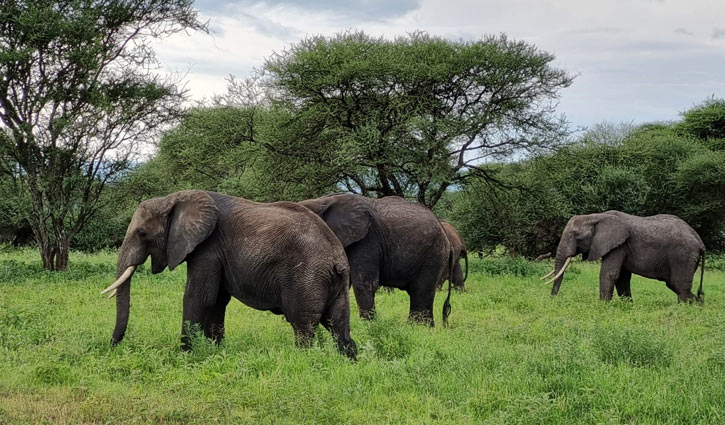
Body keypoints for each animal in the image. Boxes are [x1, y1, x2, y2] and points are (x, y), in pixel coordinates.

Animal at [101, 190, 356, 358]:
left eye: (142, 233)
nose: (112, 347)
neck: (175, 197)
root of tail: (338, 259)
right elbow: (216, 302)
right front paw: (216, 352)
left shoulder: (208, 249)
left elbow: (198, 298)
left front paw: (184, 357)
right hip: (333, 283)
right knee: (338, 327)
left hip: (307, 277)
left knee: (303, 328)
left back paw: (302, 361)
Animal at [296, 193, 450, 324]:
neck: (323, 201)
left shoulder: (366, 240)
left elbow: (365, 283)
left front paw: (369, 326)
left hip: (433, 253)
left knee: (421, 290)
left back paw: (416, 328)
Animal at [540, 209, 704, 302]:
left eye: (576, 235)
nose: (552, 300)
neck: (596, 216)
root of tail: (700, 241)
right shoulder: (621, 247)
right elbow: (622, 278)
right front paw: (628, 306)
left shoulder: (619, 246)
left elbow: (609, 274)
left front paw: (603, 306)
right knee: (675, 285)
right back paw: (699, 304)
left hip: (683, 257)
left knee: (679, 286)